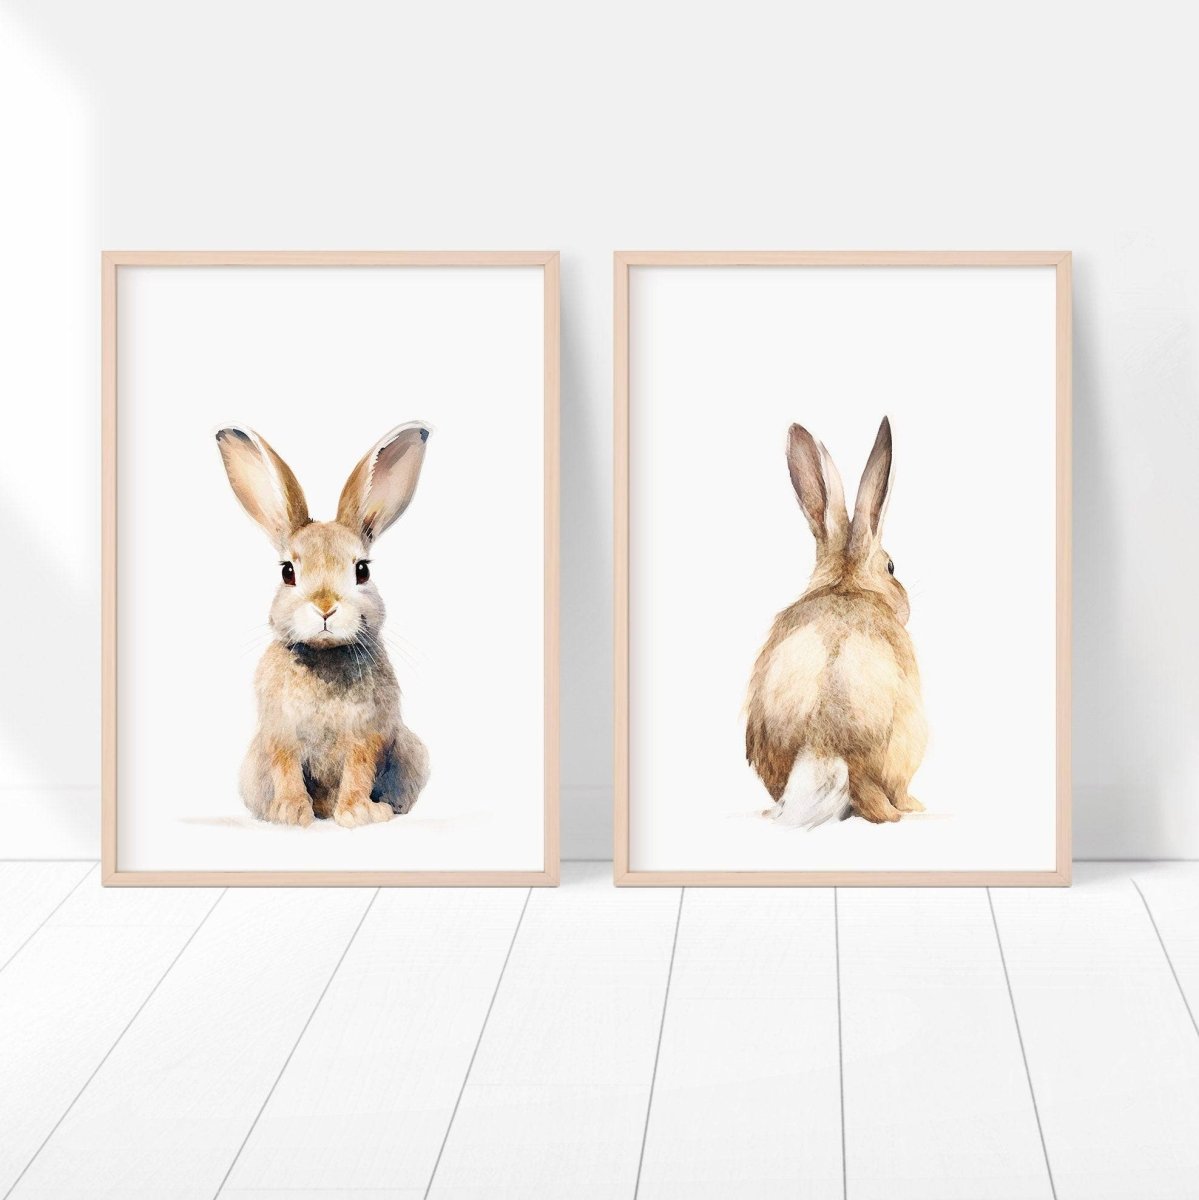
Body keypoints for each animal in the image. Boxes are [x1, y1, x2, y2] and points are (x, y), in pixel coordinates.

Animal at [215, 423, 431, 827]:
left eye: (362, 571)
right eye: (288, 572)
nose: (325, 607)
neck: (324, 656)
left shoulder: (368, 734)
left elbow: (359, 770)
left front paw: (358, 813)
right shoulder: (280, 734)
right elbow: (286, 770)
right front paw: (289, 813)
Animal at [745, 417, 927, 828]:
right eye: (891, 567)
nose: (906, 605)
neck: (846, 584)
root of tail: (824, 746)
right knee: (886, 805)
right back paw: (914, 807)